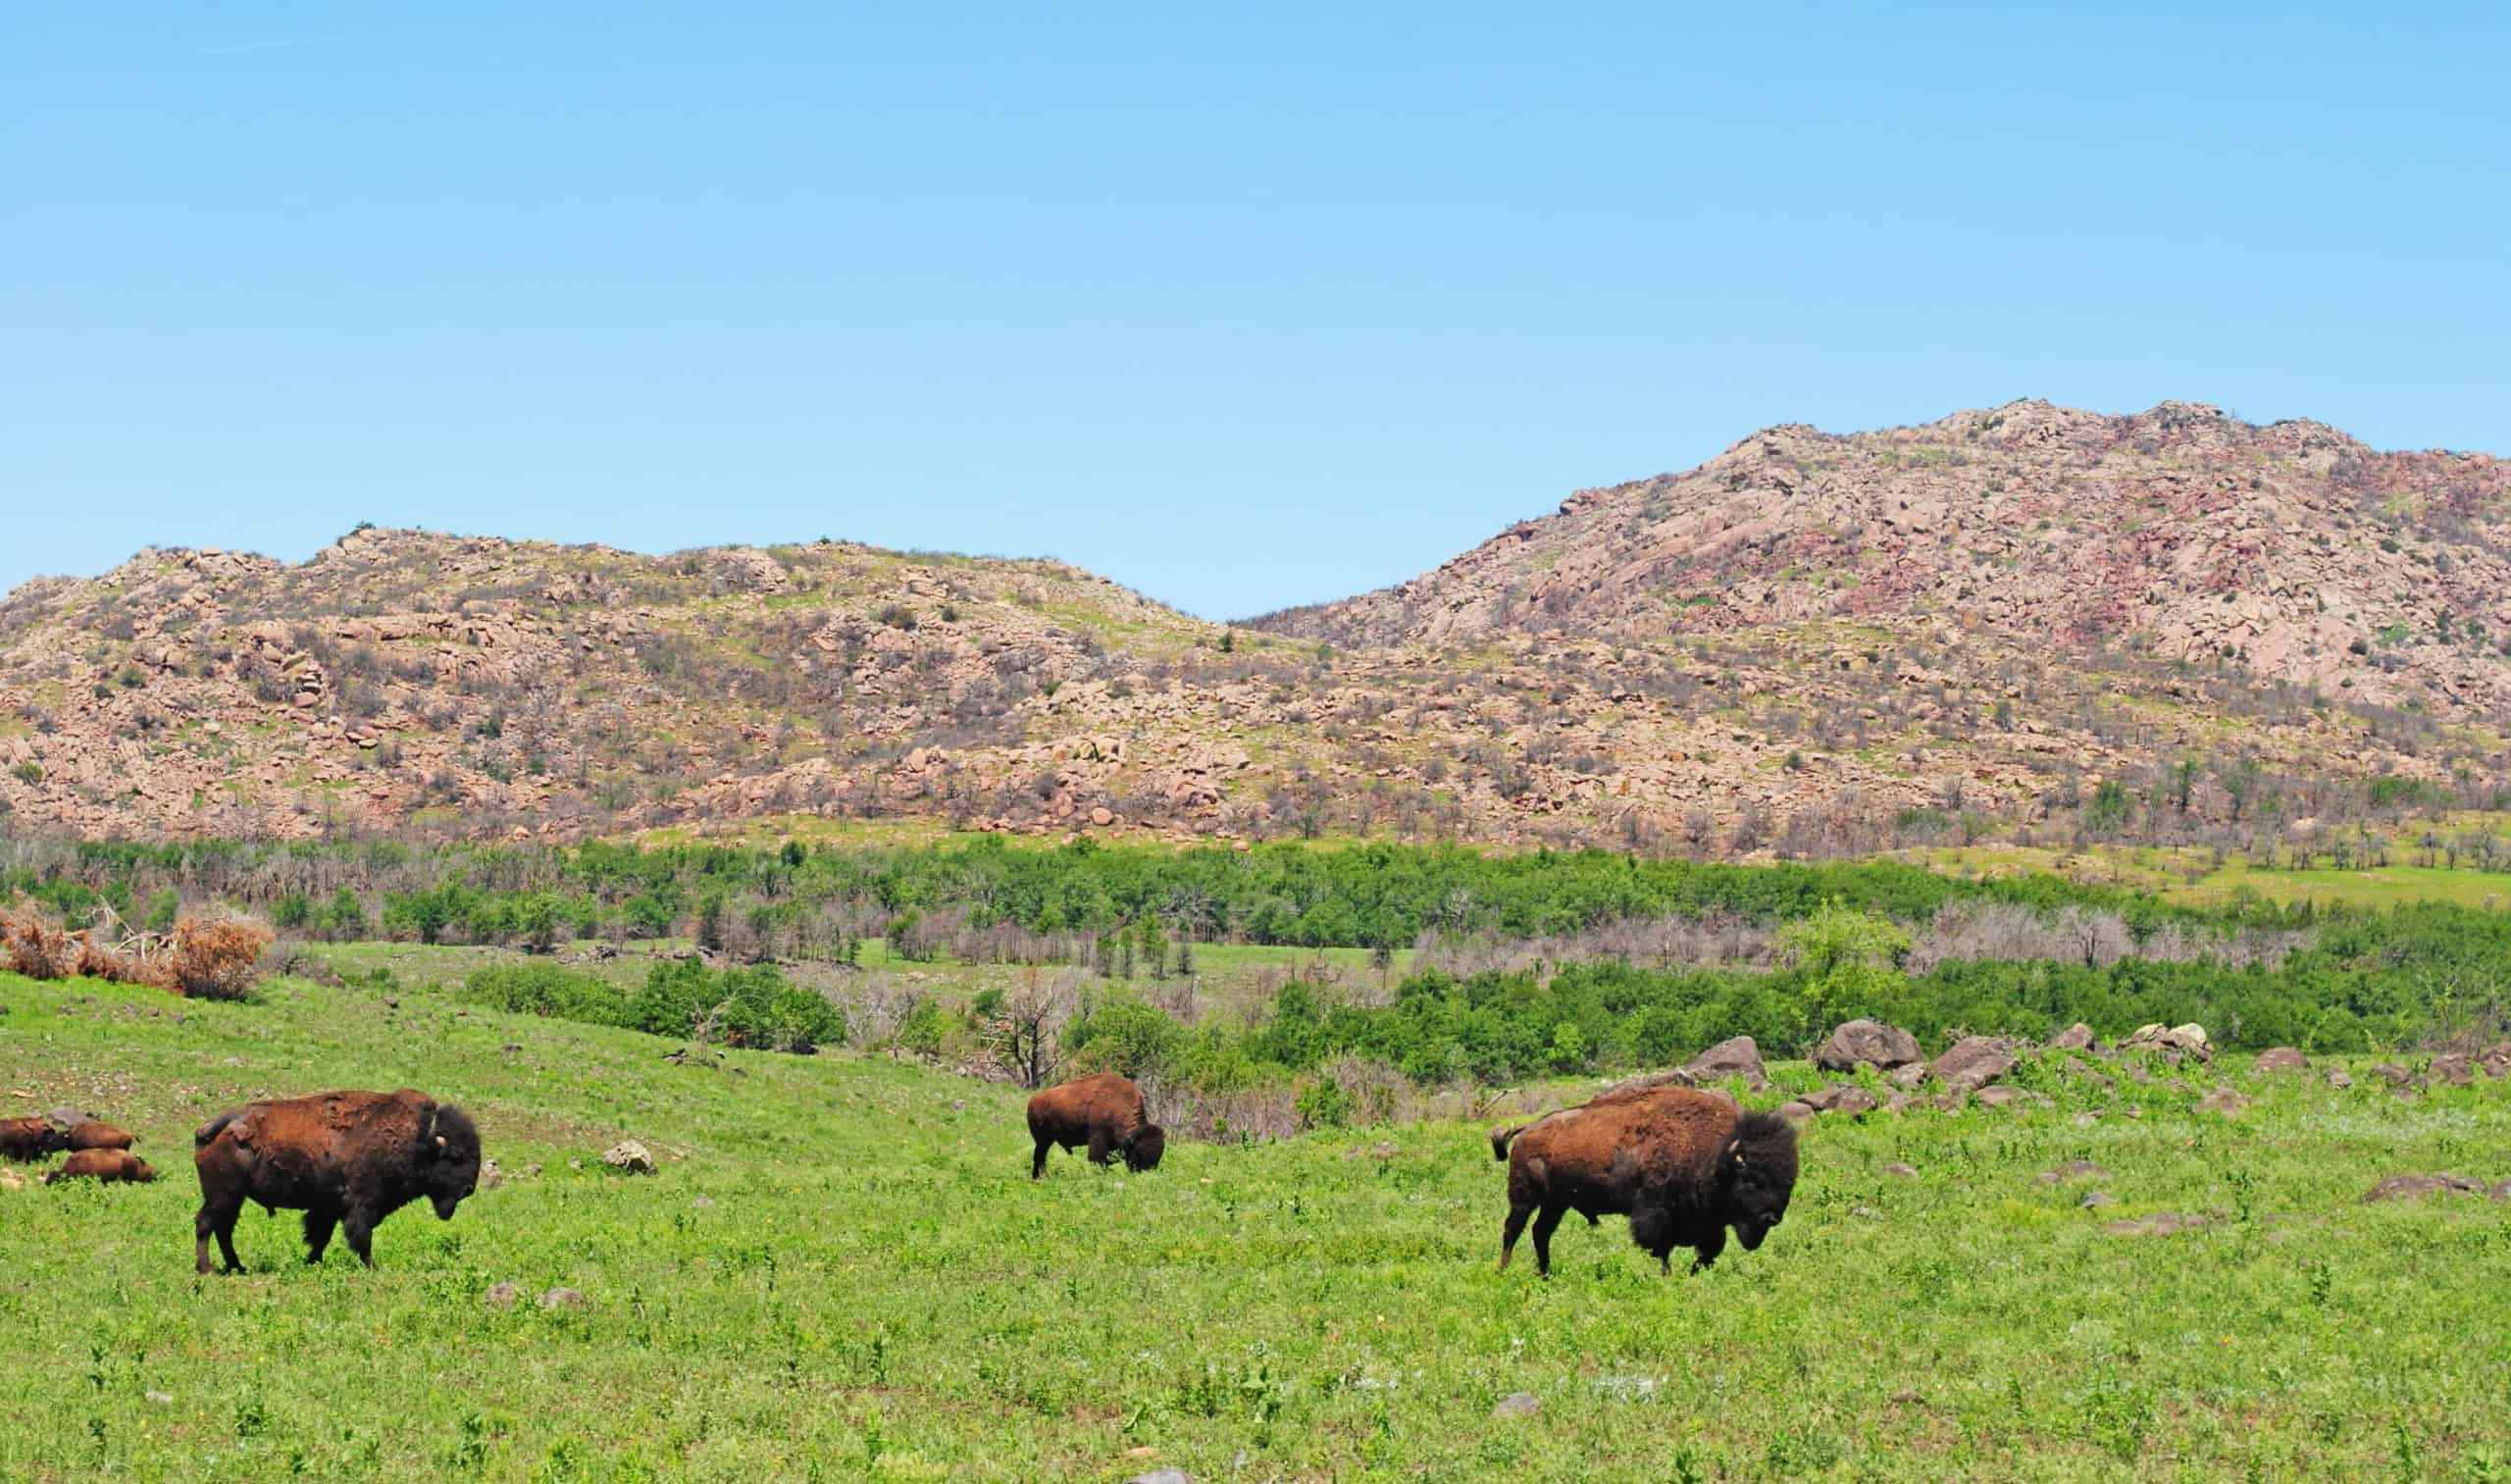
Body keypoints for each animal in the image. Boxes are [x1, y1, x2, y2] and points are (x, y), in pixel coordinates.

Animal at [193, 1088, 482, 1274]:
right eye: (456, 1155)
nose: (469, 1188)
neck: (419, 1140)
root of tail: (216, 1125)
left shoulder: (329, 1208)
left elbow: (321, 1236)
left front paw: (311, 1262)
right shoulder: (361, 1205)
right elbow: (361, 1237)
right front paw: (373, 1267)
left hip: (233, 1198)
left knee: (223, 1229)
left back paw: (237, 1267)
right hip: (223, 1195)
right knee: (206, 1224)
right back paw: (208, 1269)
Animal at [1026, 1072, 1165, 1178]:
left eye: (1160, 1153)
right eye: (1139, 1150)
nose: (1147, 1172)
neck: (1119, 1104)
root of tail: (1033, 1100)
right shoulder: (1098, 1139)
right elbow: (1097, 1159)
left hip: (1046, 1139)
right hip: (1043, 1140)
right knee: (1039, 1156)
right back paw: (1040, 1177)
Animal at [1490, 1086, 1798, 1277]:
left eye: (1788, 1182)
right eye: (1752, 1181)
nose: (1772, 1217)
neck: (1715, 1155)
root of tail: (1527, 1129)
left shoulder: (1707, 1224)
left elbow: (1707, 1252)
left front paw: (1693, 1275)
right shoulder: (1655, 1212)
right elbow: (1661, 1248)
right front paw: (1668, 1276)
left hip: (1556, 1203)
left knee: (1540, 1232)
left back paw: (1545, 1273)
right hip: (1524, 1197)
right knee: (1512, 1230)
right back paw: (1503, 1271)